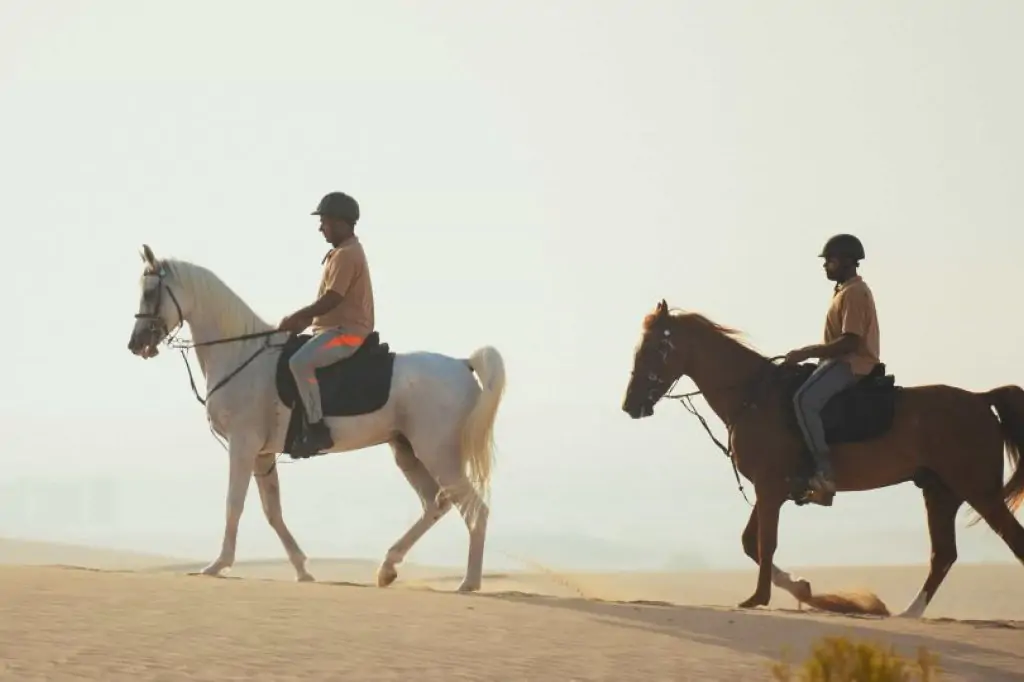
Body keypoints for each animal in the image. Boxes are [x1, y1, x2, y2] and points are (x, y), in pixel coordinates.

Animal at [128, 245, 507, 589]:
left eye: (150, 292)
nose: (136, 345)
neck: (241, 353)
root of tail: (462, 364)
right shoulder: (263, 454)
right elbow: (272, 511)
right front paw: (302, 570)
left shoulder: (243, 445)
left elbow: (234, 504)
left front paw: (218, 565)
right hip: (407, 451)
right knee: (435, 503)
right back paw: (388, 568)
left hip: (438, 453)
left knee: (474, 509)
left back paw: (469, 583)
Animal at [618, 301, 1024, 614]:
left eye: (654, 349)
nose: (630, 404)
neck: (754, 397)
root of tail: (980, 399)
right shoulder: (774, 489)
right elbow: (751, 542)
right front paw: (800, 588)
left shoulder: (769, 488)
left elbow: (765, 543)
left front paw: (760, 597)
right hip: (940, 492)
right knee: (943, 555)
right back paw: (909, 614)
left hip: (978, 492)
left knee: (1009, 541)